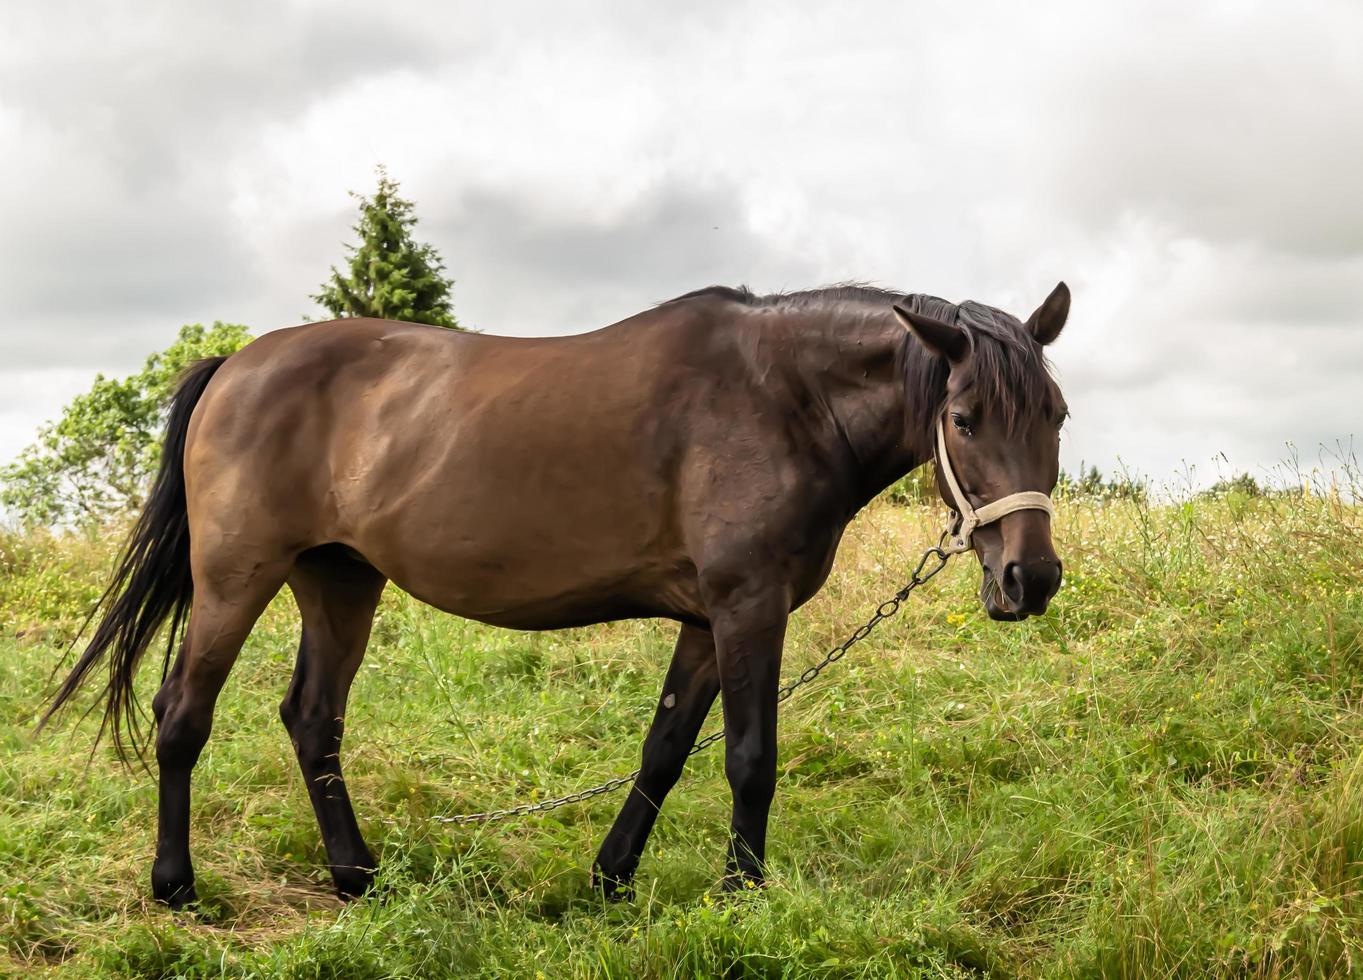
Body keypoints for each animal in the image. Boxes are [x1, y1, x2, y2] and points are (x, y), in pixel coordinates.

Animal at [45, 279, 1074, 910]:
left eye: (1056, 414)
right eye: (962, 418)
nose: (1030, 579)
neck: (782, 396)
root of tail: (236, 365)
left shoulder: (703, 620)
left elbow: (664, 752)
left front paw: (610, 879)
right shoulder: (747, 607)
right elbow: (749, 758)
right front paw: (741, 895)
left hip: (339, 582)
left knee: (312, 720)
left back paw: (356, 876)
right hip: (236, 576)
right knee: (183, 714)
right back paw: (176, 885)